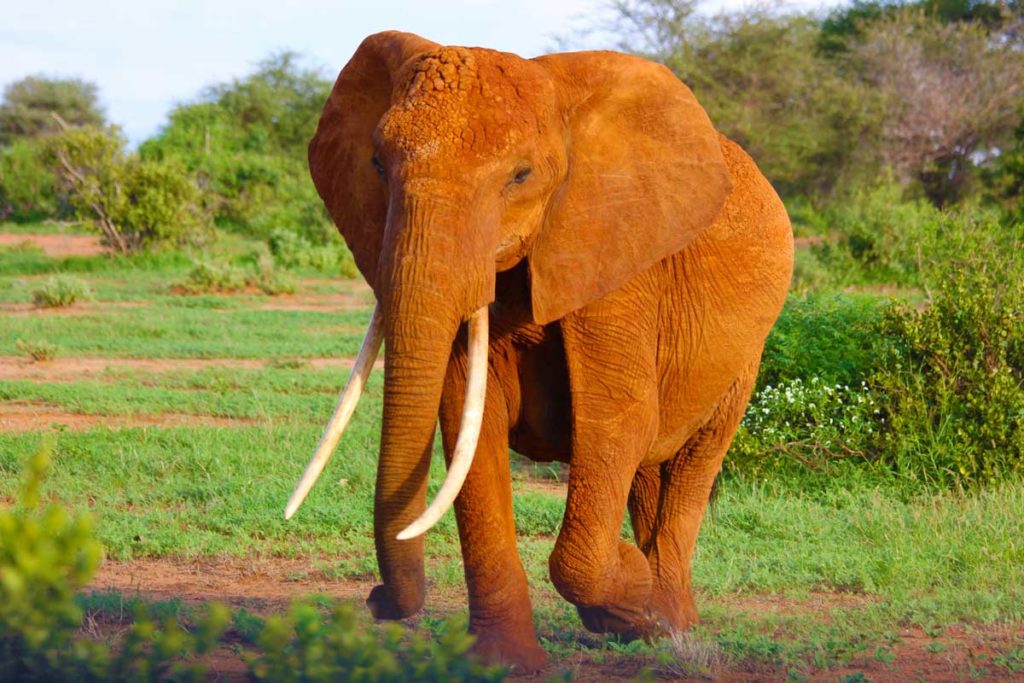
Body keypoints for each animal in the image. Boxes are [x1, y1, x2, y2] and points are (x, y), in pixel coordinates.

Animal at [284, 30, 794, 671]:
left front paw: (628, 589)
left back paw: (671, 626)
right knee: (650, 471)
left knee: (693, 461)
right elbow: (468, 423)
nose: (374, 600)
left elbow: (618, 420)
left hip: (747, 354)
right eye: (377, 165)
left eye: (520, 176)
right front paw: (505, 664)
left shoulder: (616, 257)